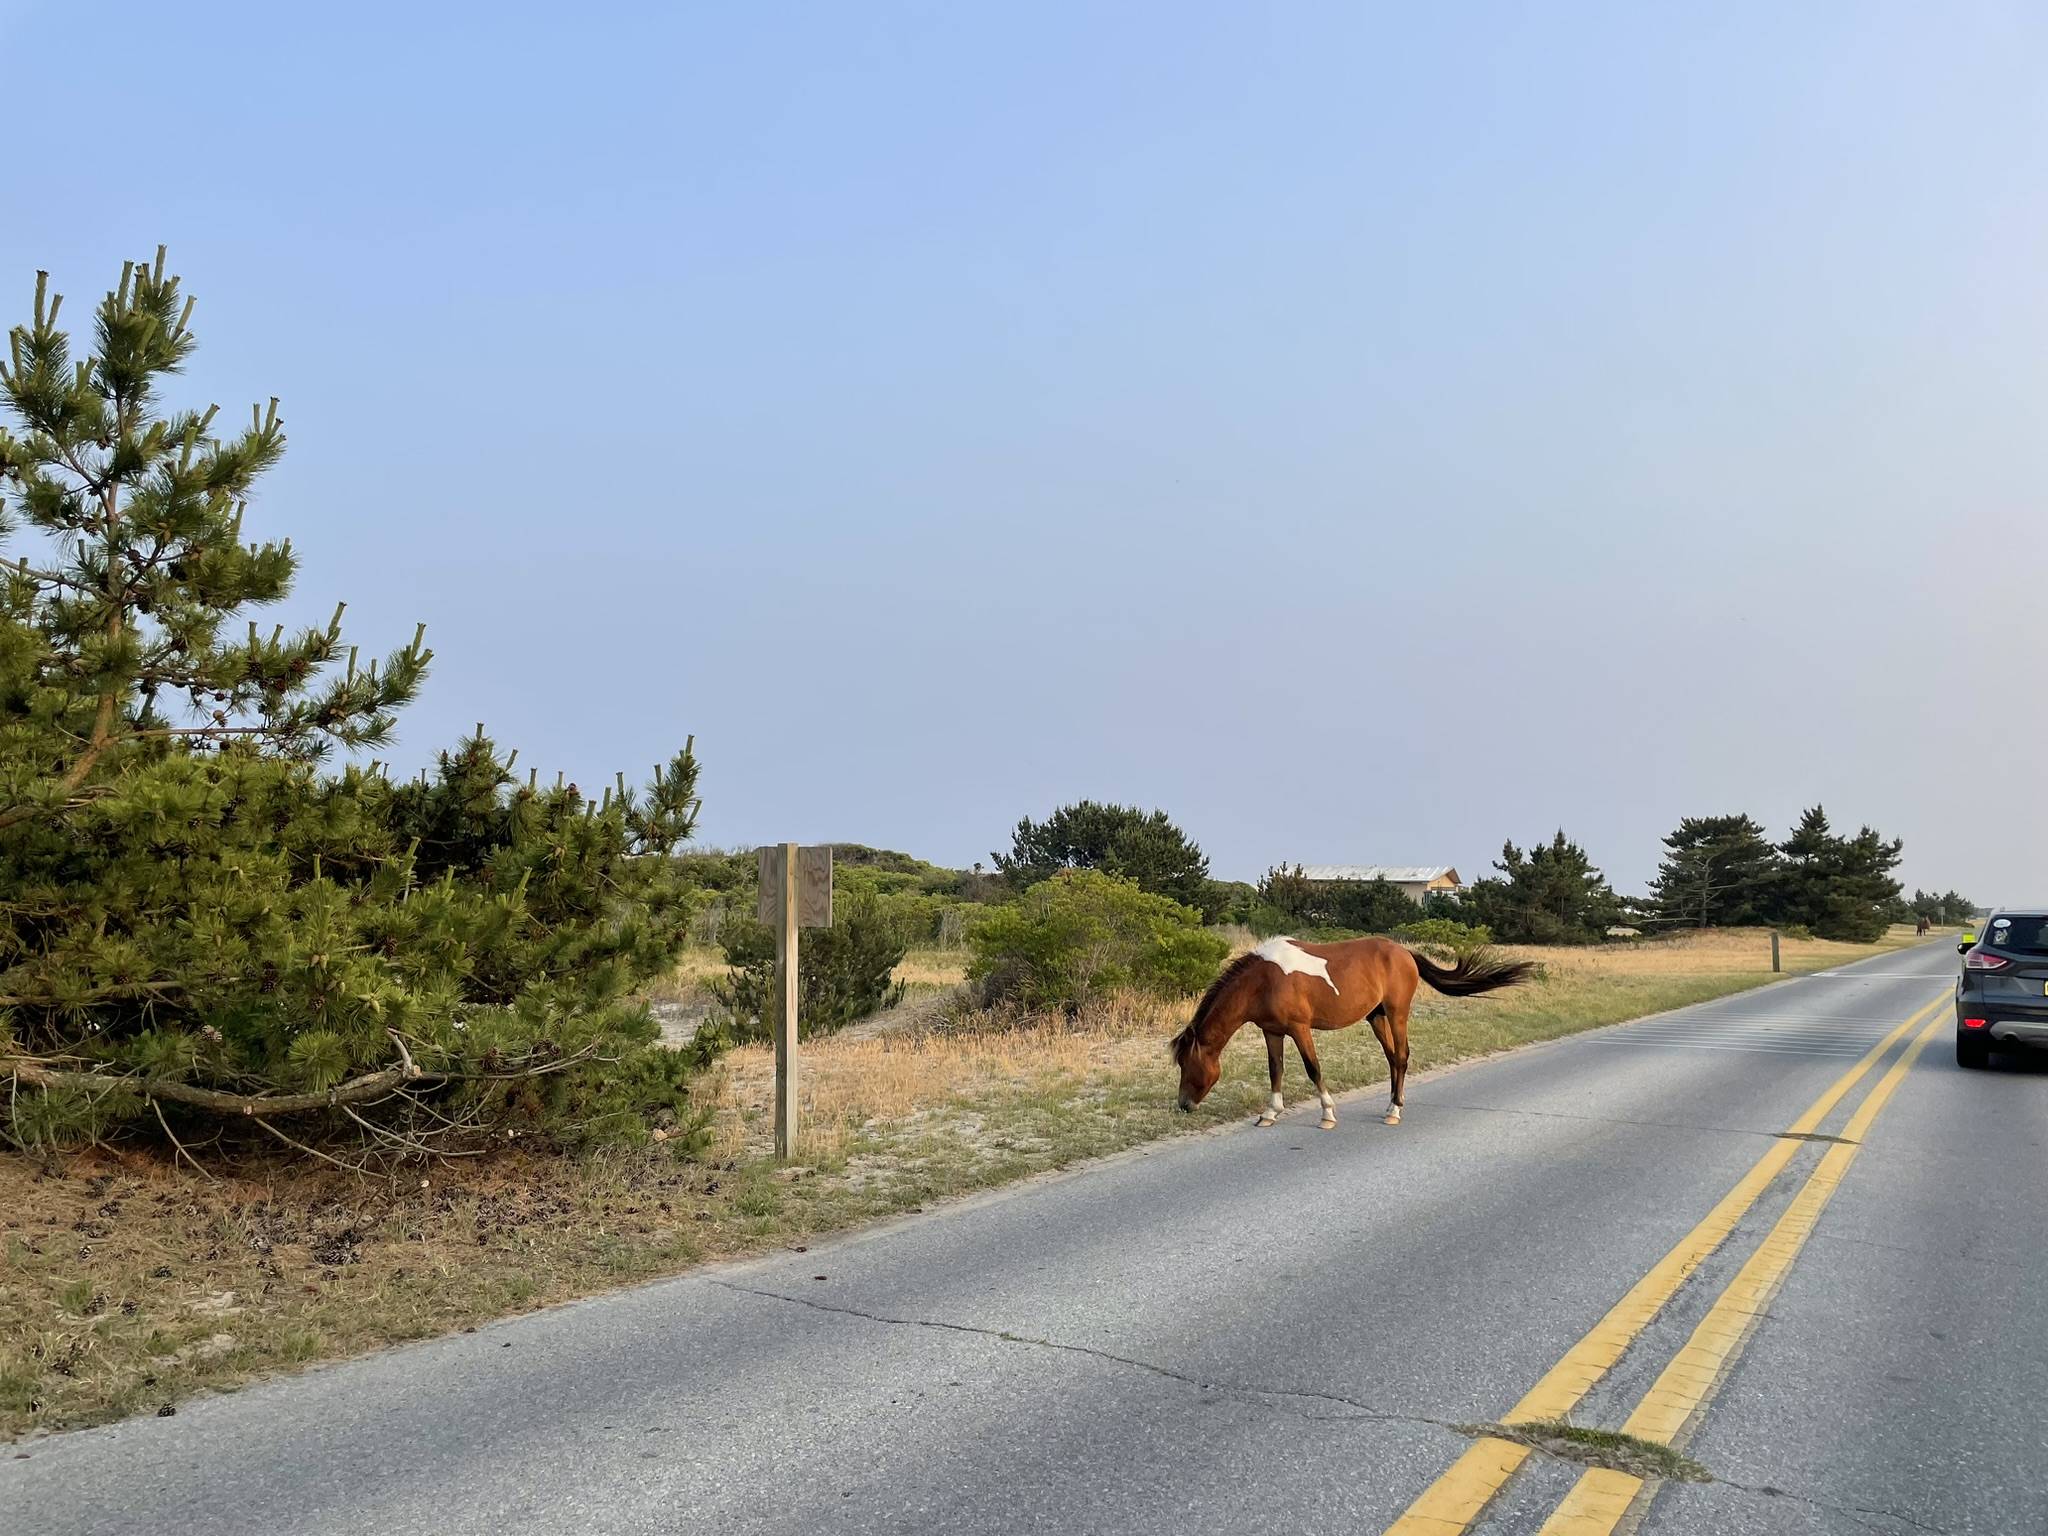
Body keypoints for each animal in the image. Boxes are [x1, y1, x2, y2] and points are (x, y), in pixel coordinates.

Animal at [1170, 936, 1537, 1129]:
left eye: (1187, 1064)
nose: (1183, 1105)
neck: (1264, 980)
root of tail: (1404, 952)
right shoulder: (1272, 1032)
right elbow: (1276, 1070)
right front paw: (1270, 1113)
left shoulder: (1300, 1029)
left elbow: (1313, 1069)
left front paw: (1328, 1114)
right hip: (1375, 1017)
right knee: (1392, 1058)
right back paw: (1391, 1105)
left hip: (1396, 1014)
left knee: (1402, 1056)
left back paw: (1395, 1110)